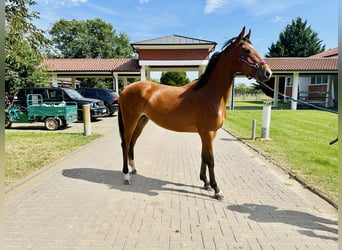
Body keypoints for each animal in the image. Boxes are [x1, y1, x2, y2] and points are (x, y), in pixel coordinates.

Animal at [118, 26, 272, 199]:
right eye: (246, 50)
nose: (267, 72)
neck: (210, 94)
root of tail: (125, 89)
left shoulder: (209, 134)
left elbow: (203, 156)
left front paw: (205, 183)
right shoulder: (207, 133)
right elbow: (210, 160)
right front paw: (217, 189)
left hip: (141, 121)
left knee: (132, 143)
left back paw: (134, 169)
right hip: (130, 121)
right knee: (125, 143)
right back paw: (126, 176)